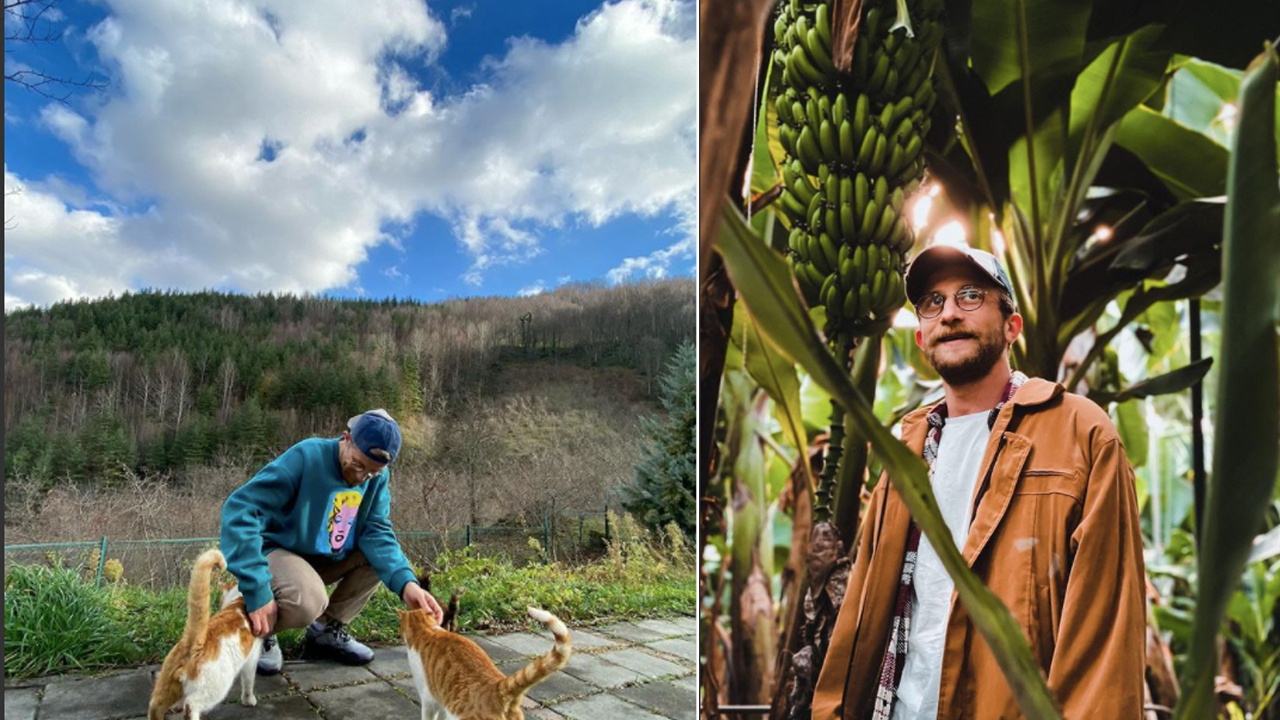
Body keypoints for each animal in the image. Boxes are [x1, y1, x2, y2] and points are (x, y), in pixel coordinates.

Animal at [148, 545, 261, 712]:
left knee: (155, 705)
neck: (239, 600)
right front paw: (248, 700)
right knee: (192, 703)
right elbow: (248, 682)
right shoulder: (251, 659)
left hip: (163, 687)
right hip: (217, 686)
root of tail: (194, 642)